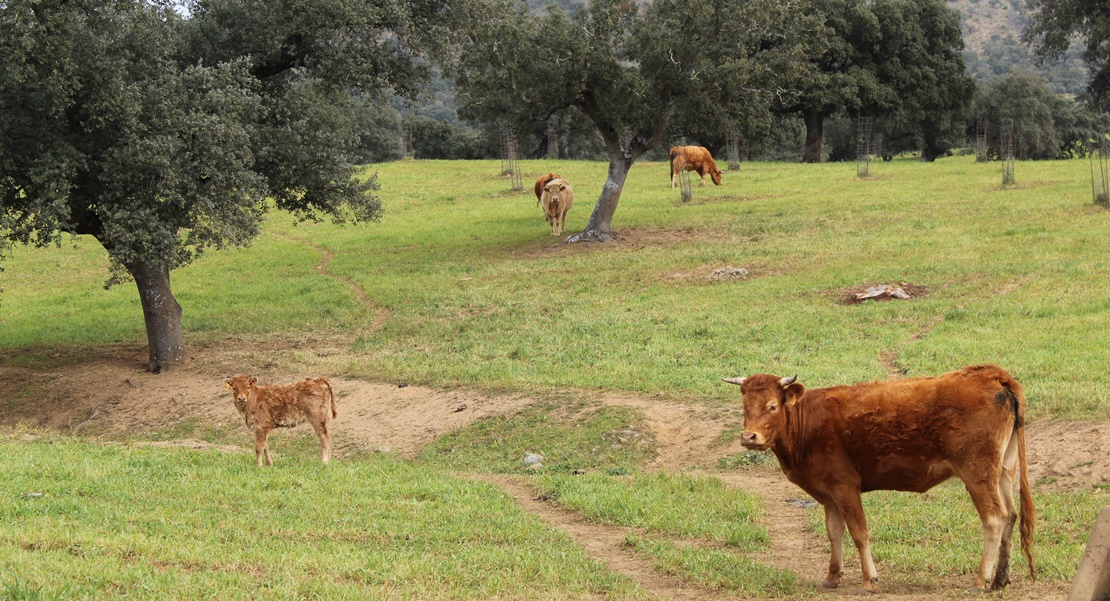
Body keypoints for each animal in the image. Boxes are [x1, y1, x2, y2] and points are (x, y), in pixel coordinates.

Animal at [723, 362, 1034, 591]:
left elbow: (859, 532)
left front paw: (869, 580)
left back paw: (981, 580)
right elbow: (834, 532)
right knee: (1011, 514)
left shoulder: (845, 486)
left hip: (977, 473)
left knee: (994, 518)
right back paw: (1000, 579)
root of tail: (993, 375)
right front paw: (832, 576)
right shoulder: (828, 493)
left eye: (772, 406)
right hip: (1003, 471)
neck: (808, 422)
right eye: (745, 408)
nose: (749, 437)